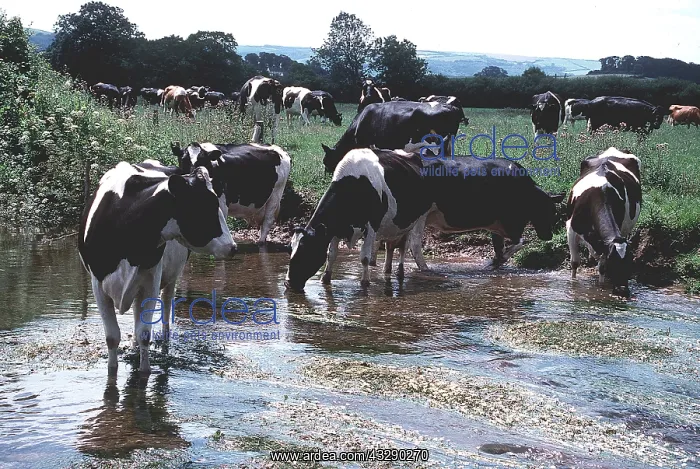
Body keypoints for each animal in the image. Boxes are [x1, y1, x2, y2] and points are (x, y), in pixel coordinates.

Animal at [78, 161, 236, 374]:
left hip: (170, 278)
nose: (233, 247)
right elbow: (112, 337)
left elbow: (144, 334)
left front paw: (145, 371)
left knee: (166, 308)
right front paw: (113, 369)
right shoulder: (98, 284)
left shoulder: (151, 281)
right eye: (205, 206)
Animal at [284, 148, 433, 292]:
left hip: (416, 220)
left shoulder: (372, 226)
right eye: (290, 250)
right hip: (395, 226)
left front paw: (365, 282)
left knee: (404, 247)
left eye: (306, 251)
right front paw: (325, 279)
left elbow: (365, 257)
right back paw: (387, 271)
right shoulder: (335, 227)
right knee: (391, 247)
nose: (288, 283)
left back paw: (400, 273)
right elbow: (331, 254)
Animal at [566, 147, 642, 297]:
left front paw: (600, 287)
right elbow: (575, 263)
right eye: (613, 263)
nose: (622, 290)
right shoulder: (571, 230)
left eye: (630, 263)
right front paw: (573, 284)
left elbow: (601, 267)